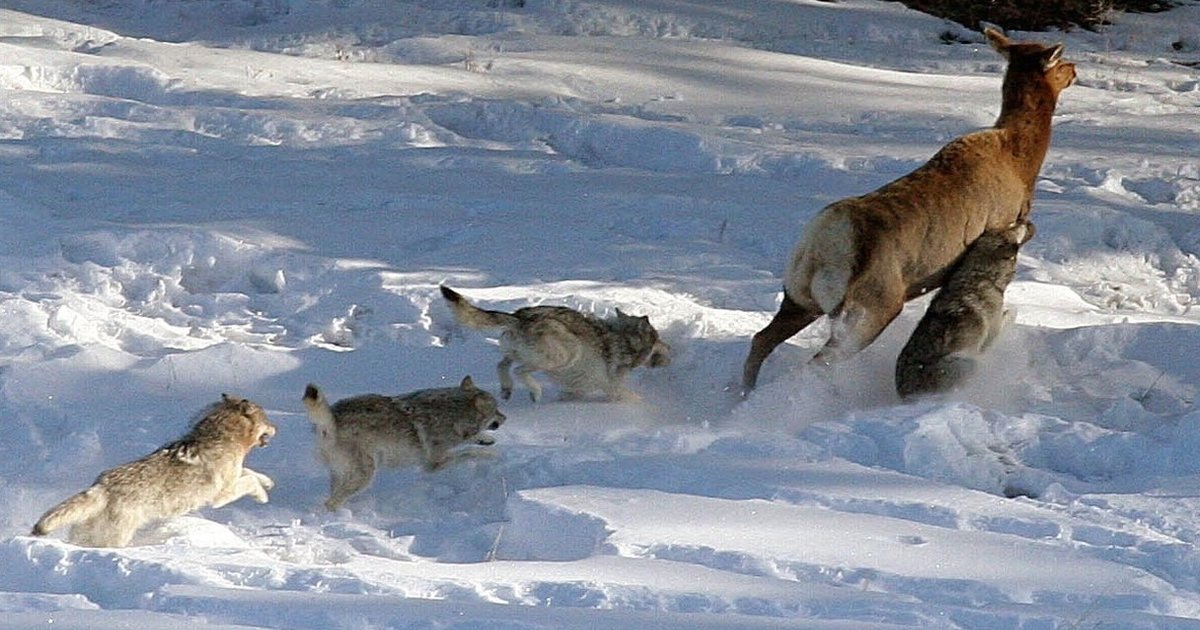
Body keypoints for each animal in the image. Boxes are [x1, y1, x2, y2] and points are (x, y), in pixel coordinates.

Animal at [32, 396, 278, 547]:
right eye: (267, 420)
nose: (277, 428)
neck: (223, 436)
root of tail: (101, 486)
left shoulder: (234, 476)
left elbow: (249, 472)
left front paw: (268, 482)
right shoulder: (221, 495)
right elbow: (249, 481)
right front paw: (263, 496)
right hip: (117, 537)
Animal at [304, 376, 506, 508]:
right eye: (497, 410)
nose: (505, 418)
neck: (452, 414)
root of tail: (332, 419)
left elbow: (473, 439)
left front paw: (487, 440)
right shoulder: (433, 464)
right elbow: (469, 452)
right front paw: (492, 454)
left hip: (343, 474)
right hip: (365, 475)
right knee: (330, 503)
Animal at [439, 282, 667, 400]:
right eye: (658, 338)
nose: (670, 349)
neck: (625, 340)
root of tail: (520, 316)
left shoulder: (579, 386)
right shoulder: (612, 387)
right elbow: (628, 396)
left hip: (515, 352)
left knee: (502, 365)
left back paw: (506, 389)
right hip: (566, 353)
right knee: (519, 371)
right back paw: (535, 392)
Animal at [897, 220, 1036, 398]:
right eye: (1012, 228)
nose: (1025, 221)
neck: (983, 275)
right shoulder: (991, 336)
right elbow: (1012, 312)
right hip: (966, 362)